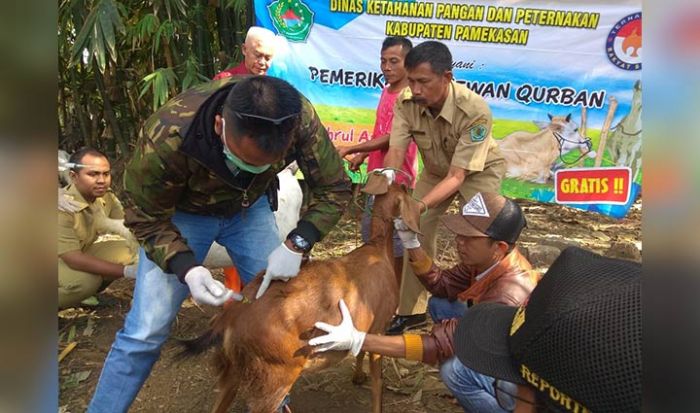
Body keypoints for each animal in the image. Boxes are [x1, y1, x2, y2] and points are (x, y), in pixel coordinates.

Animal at [183, 175, 422, 412]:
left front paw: (357, 376)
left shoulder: (367, 324)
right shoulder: (381, 324)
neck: (377, 250)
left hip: (233, 368)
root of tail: (231, 317)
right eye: (405, 189)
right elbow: (377, 381)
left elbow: (361, 348)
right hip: (275, 374)